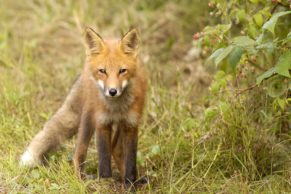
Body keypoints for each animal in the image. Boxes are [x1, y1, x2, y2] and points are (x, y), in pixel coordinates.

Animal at [20, 27, 147, 186]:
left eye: (122, 71)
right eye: (103, 71)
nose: (112, 91)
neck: (116, 107)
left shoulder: (131, 124)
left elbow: (130, 161)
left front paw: (130, 184)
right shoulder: (102, 122)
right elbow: (103, 157)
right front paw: (105, 179)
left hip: (118, 125)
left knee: (116, 149)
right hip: (88, 119)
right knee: (78, 153)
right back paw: (80, 180)